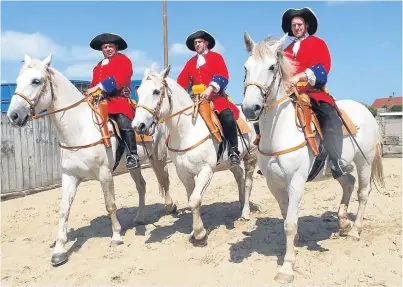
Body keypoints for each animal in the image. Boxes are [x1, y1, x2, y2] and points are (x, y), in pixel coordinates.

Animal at [6, 54, 177, 268]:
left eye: (36, 81)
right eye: (18, 80)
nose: (13, 115)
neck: (79, 130)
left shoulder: (105, 175)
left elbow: (110, 204)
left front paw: (116, 236)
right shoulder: (70, 176)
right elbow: (64, 209)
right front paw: (59, 251)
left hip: (158, 157)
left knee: (165, 180)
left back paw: (170, 207)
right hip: (134, 164)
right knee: (141, 185)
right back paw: (139, 218)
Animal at [133, 66, 258, 246]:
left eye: (156, 91)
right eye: (139, 91)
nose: (138, 126)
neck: (187, 131)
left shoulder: (206, 170)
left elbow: (195, 200)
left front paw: (200, 234)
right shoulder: (183, 173)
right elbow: (191, 198)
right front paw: (195, 230)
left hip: (251, 156)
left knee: (247, 182)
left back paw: (245, 212)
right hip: (230, 163)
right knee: (239, 177)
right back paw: (241, 205)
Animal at [240, 32, 386, 284]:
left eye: (271, 67)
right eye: (246, 67)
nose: (250, 109)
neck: (280, 131)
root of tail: (365, 111)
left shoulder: (296, 182)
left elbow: (289, 223)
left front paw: (287, 268)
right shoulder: (274, 184)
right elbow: (286, 217)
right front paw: (296, 243)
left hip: (364, 162)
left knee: (363, 192)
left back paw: (355, 230)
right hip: (338, 167)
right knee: (348, 183)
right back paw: (342, 223)